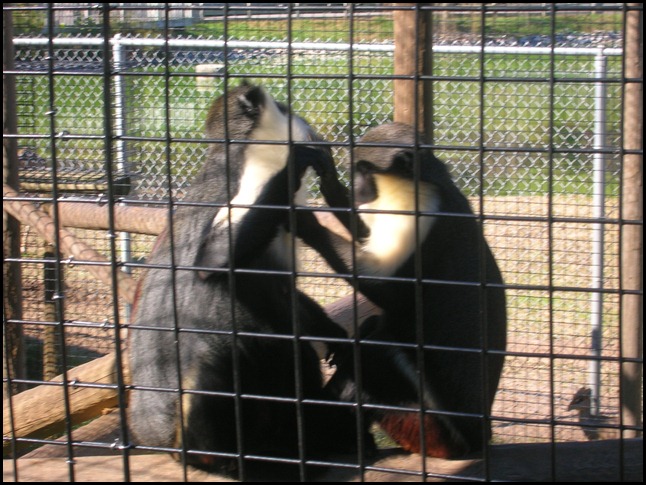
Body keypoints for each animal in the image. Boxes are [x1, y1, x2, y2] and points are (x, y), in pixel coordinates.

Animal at [128, 81, 372, 478]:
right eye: (285, 109)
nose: (303, 120)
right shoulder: (230, 193)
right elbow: (210, 262)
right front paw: (299, 159)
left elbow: (286, 291)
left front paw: (333, 333)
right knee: (216, 363)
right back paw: (235, 461)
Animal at [308, 123, 512, 460]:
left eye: (365, 169)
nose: (358, 188)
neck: (420, 180)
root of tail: (479, 439)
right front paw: (331, 185)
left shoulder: (419, 212)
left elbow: (392, 292)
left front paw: (302, 220)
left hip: (430, 428)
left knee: (378, 352)